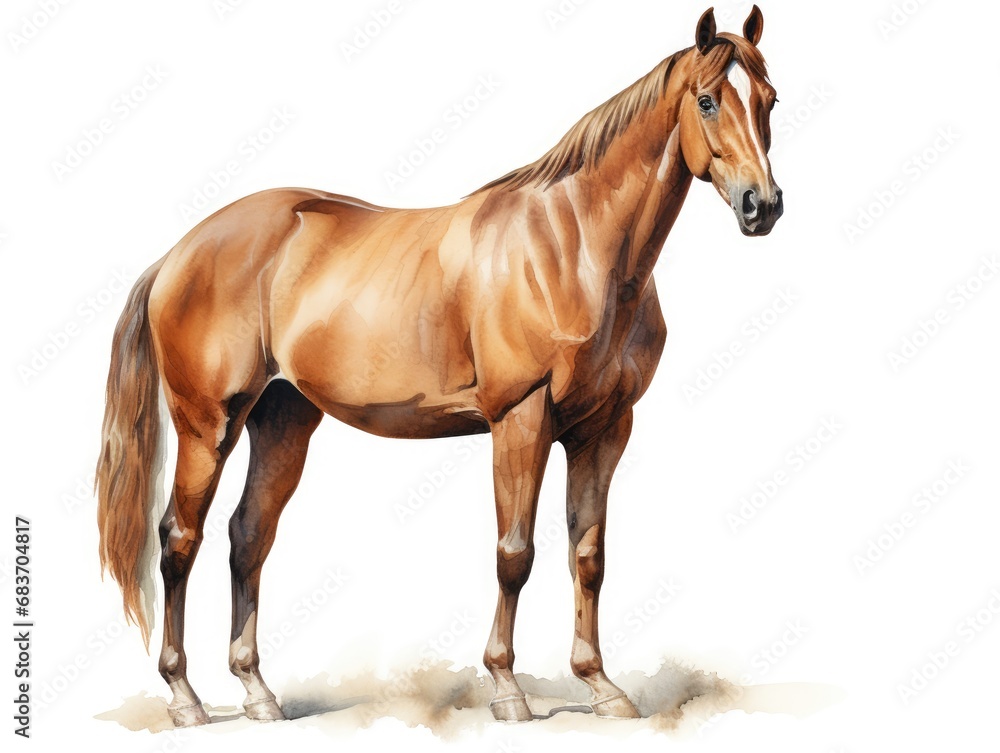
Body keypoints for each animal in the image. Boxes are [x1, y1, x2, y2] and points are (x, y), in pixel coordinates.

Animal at [96, 5, 782, 727]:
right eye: (707, 100)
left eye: (769, 100)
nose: (762, 205)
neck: (577, 249)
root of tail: (179, 252)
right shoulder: (521, 418)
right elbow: (515, 553)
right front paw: (507, 689)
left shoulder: (605, 429)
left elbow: (588, 557)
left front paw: (602, 687)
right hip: (208, 424)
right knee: (179, 538)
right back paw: (185, 697)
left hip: (284, 421)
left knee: (247, 535)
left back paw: (258, 693)